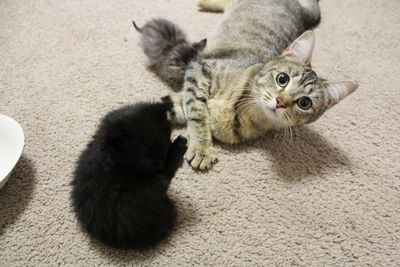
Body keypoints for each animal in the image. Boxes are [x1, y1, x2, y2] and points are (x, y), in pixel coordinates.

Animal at [71, 100, 188, 251]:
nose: (160, 163)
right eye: (145, 159)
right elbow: (168, 171)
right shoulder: (155, 182)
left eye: (163, 148)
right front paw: (180, 145)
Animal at [151, 0, 360, 171]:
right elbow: (197, 110)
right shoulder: (201, 69)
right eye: (282, 79)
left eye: (304, 103)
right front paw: (202, 148)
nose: (280, 102)